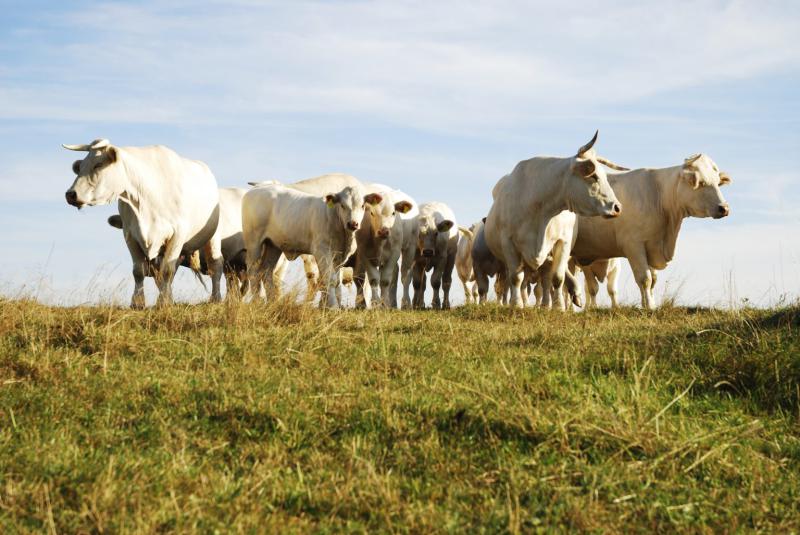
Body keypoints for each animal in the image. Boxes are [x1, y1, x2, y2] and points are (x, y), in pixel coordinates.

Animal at [63, 140, 222, 308]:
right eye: (80, 167)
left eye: (98, 165)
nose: (70, 194)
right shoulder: (130, 234)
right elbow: (139, 271)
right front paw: (138, 302)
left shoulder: (178, 233)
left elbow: (166, 270)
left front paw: (163, 302)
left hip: (212, 237)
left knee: (215, 265)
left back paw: (215, 297)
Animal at [241, 183, 376, 308]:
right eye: (342, 205)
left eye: (362, 206)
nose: (353, 224)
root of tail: (258, 188)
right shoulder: (321, 250)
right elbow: (329, 279)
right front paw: (333, 307)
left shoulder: (338, 256)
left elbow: (336, 281)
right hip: (254, 242)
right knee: (253, 271)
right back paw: (257, 301)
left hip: (273, 245)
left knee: (266, 271)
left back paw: (272, 302)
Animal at [482, 131, 624, 310]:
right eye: (593, 176)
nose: (617, 207)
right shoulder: (508, 243)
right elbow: (515, 278)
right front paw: (516, 304)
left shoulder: (563, 241)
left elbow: (557, 277)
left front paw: (558, 306)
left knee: (547, 279)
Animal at [572, 153, 736, 308]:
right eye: (701, 183)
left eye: (717, 183)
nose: (724, 208)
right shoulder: (633, 245)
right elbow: (644, 279)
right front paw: (649, 307)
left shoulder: (651, 246)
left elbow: (653, 281)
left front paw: (649, 304)